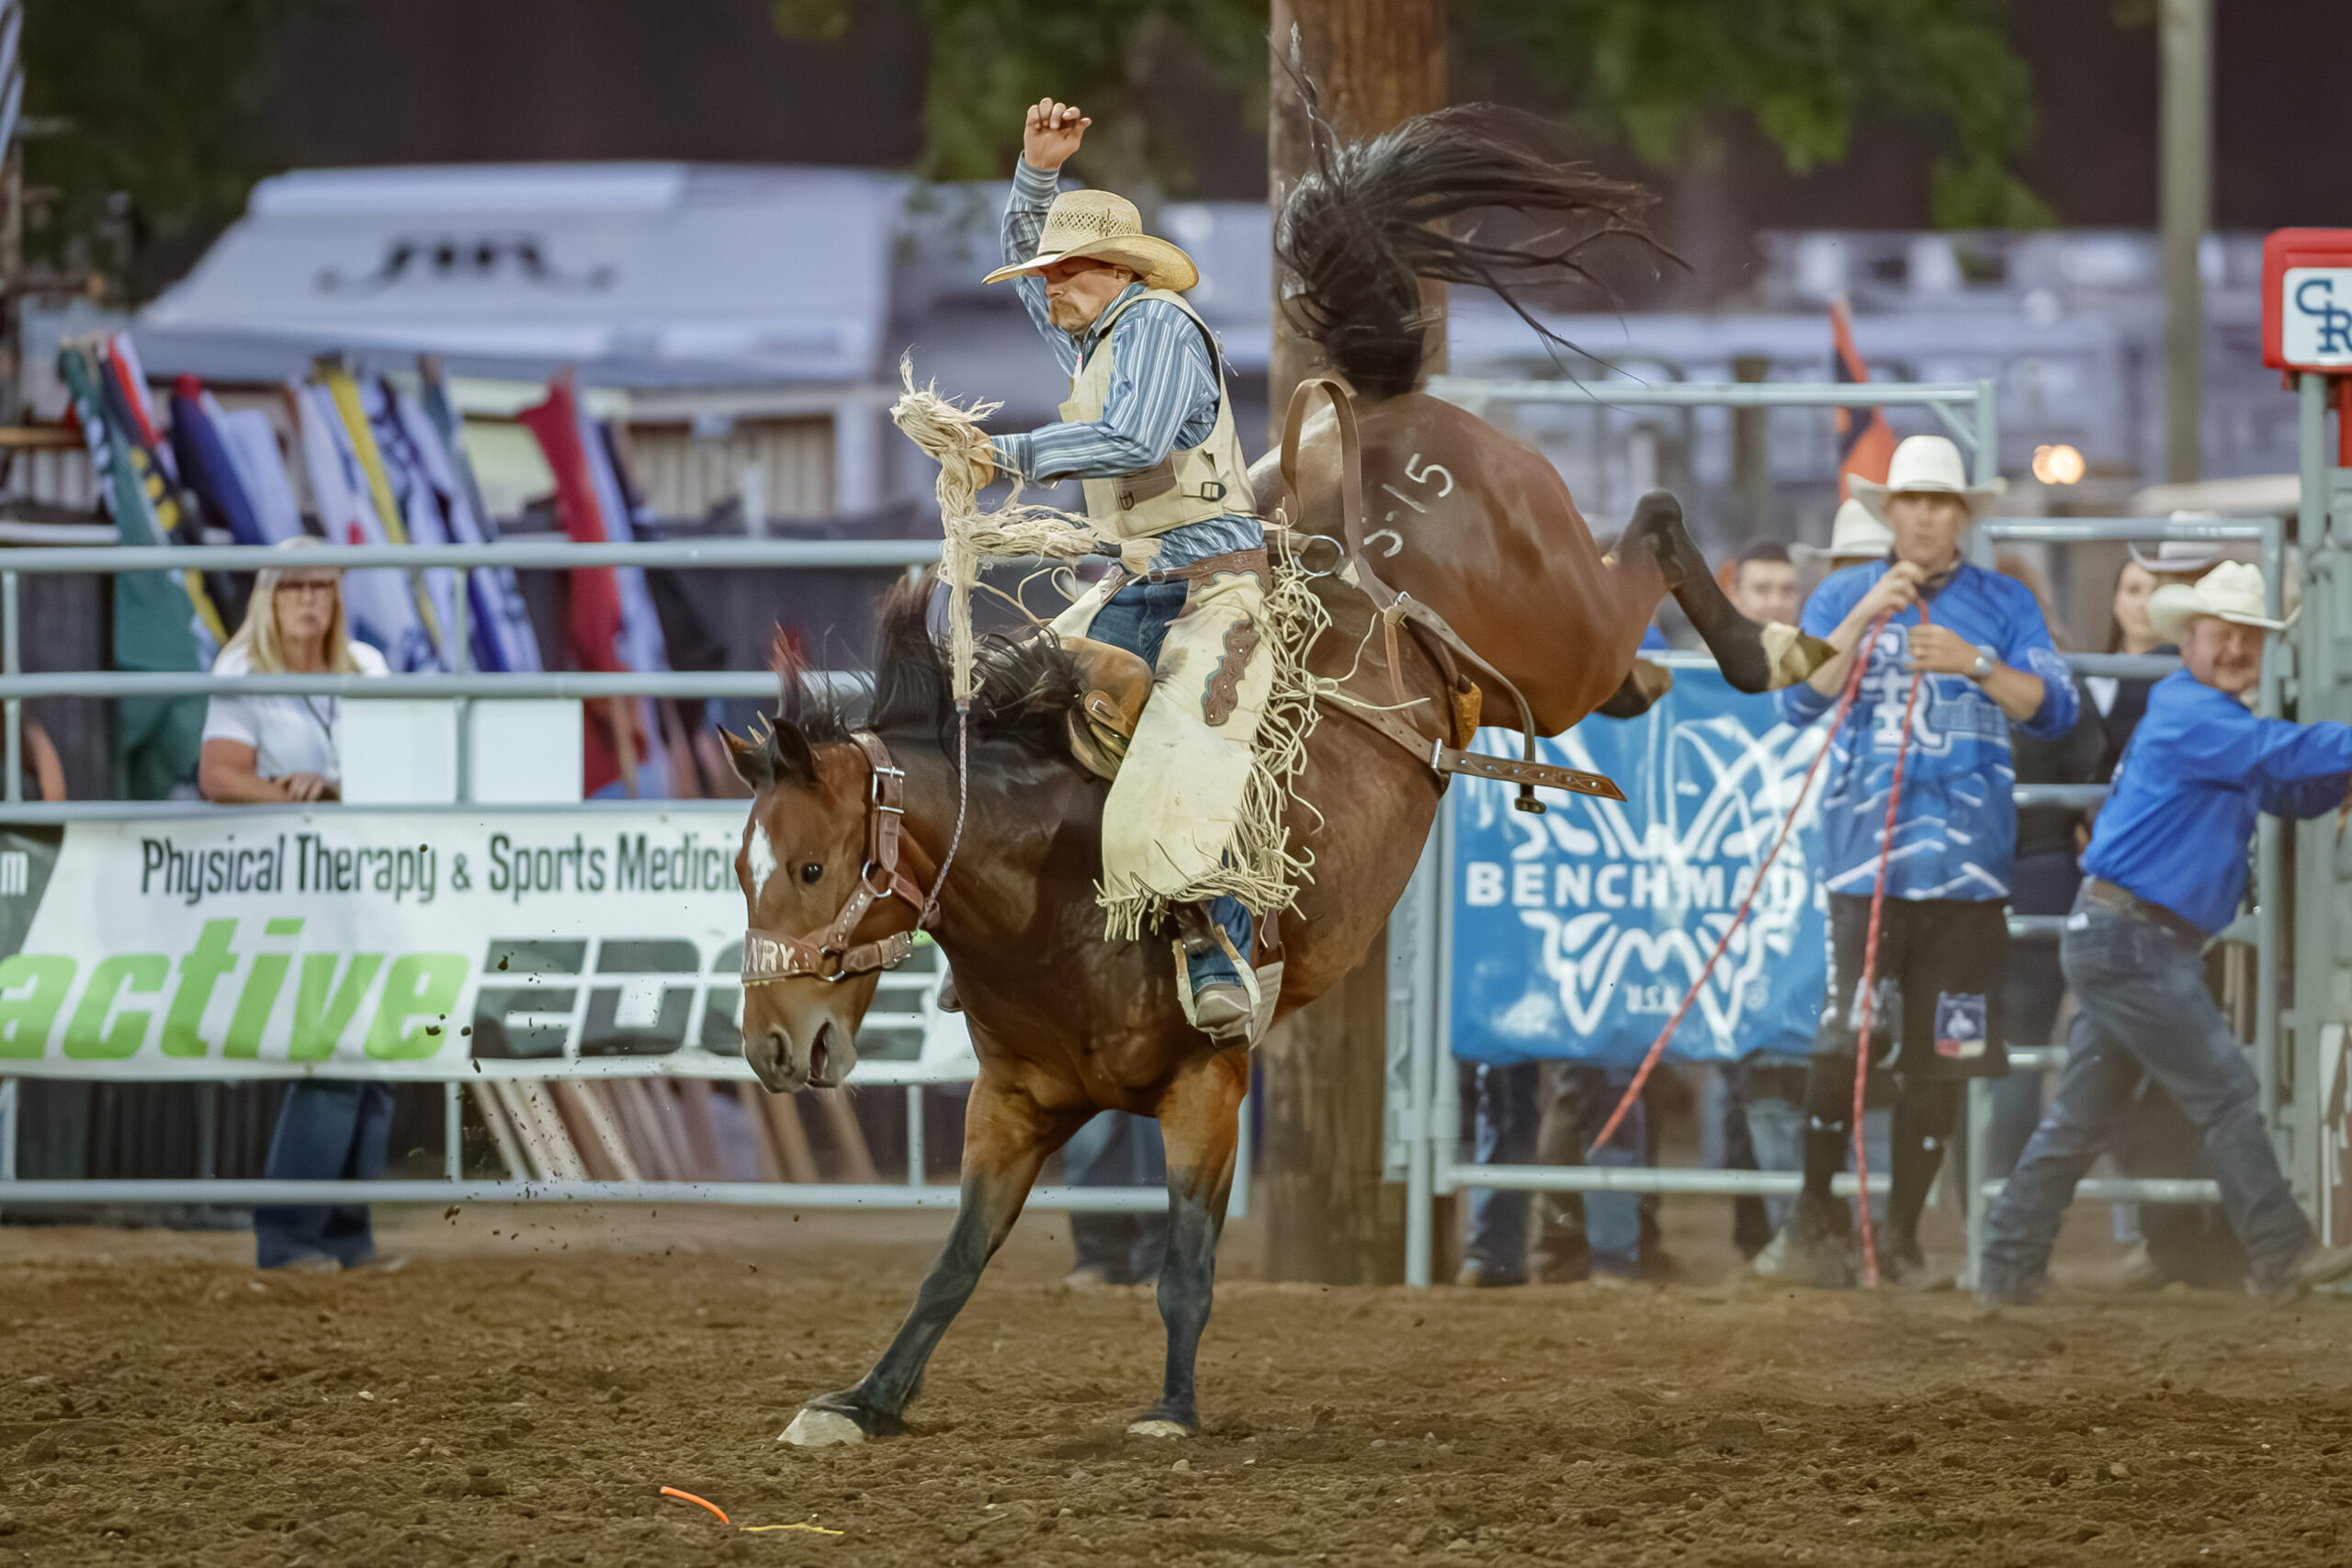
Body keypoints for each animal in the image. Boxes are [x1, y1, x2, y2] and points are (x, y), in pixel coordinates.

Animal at [724, 101, 1825, 1448]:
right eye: (741, 870)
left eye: (812, 866)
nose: (776, 1051)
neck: (1048, 891)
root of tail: (1392, 407)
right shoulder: (1012, 1106)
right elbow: (953, 1264)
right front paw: (865, 1399)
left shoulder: (1212, 1082)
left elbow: (1185, 1263)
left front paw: (1170, 1409)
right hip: (1540, 662)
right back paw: (1672, 682)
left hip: (1561, 618)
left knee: (1657, 521)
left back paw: (1768, 646)